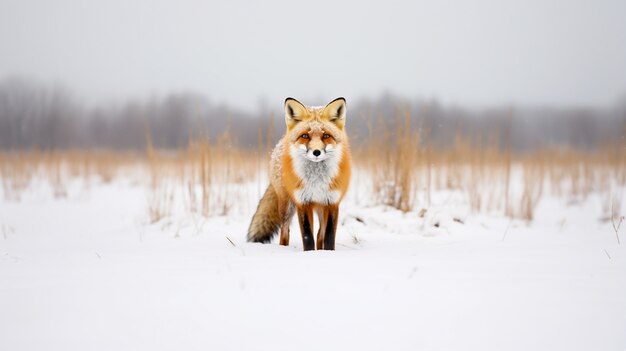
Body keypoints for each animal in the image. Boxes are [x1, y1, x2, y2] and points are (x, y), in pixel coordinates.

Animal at [245, 97, 352, 250]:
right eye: (305, 136)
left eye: (326, 135)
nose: (316, 152)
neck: (317, 180)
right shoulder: (303, 202)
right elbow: (307, 237)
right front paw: (309, 253)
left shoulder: (332, 202)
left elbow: (329, 236)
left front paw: (328, 252)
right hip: (287, 208)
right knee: (285, 232)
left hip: (320, 208)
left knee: (319, 234)